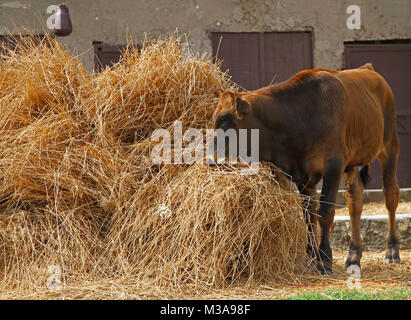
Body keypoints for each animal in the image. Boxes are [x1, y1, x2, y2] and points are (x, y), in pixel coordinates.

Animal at [214, 63, 400, 274]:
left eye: (226, 122)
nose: (211, 158)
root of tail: (367, 69)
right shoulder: (303, 176)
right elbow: (308, 216)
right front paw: (311, 258)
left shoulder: (333, 166)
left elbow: (325, 212)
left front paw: (325, 259)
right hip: (352, 164)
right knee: (355, 203)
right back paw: (353, 256)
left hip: (389, 147)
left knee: (390, 195)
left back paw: (392, 250)